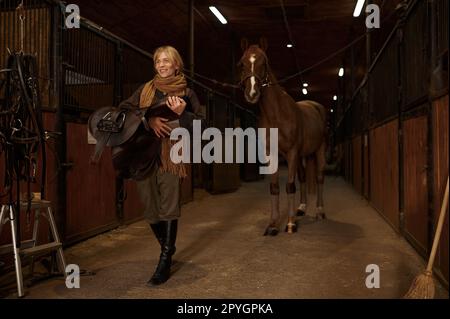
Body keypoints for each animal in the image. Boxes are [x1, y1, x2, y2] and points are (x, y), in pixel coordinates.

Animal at [239, 39, 326, 238]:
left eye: (264, 62)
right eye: (242, 63)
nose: (252, 94)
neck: (277, 115)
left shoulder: (292, 152)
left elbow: (290, 186)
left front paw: (290, 224)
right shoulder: (272, 154)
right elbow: (274, 187)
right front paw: (272, 225)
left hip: (319, 150)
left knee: (319, 177)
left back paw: (319, 211)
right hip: (301, 155)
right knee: (303, 176)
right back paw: (302, 208)